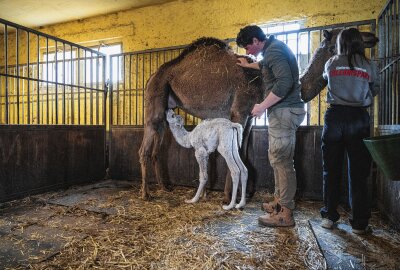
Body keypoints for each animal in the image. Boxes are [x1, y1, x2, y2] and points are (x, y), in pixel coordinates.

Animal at [138, 29, 378, 200]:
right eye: (344, 35)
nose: (372, 37)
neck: (262, 82)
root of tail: (152, 76)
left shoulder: (251, 117)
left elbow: (243, 151)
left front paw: (245, 193)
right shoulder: (239, 111)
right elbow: (235, 151)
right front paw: (228, 196)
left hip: (166, 105)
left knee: (157, 146)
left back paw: (165, 187)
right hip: (155, 97)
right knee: (145, 145)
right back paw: (146, 194)